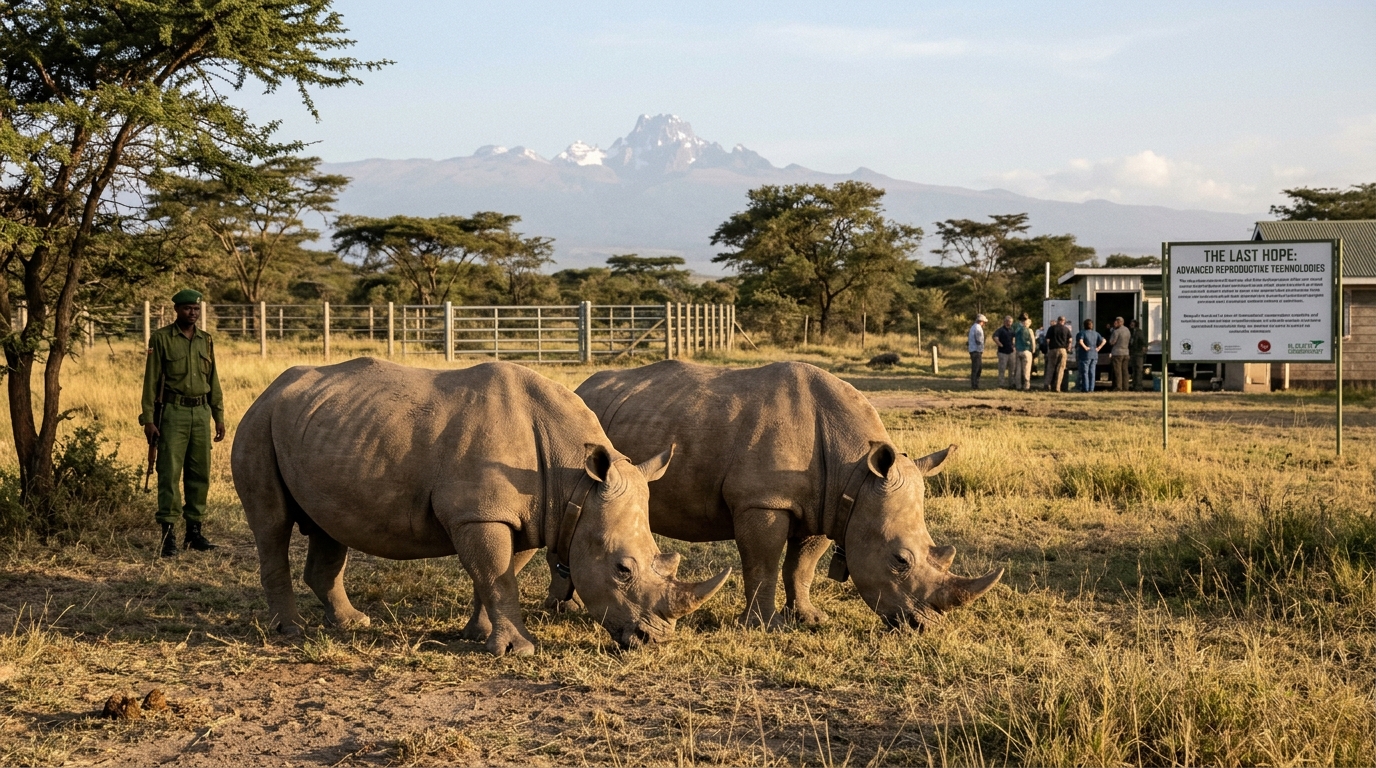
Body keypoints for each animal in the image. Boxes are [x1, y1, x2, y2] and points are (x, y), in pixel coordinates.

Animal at [231, 358, 729, 656]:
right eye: (622, 570)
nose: (653, 640)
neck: (578, 484)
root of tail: (271, 388)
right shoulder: (481, 512)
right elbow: (496, 574)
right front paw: (518, 651)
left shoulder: (528, 513)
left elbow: (499, 573)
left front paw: (478, 634)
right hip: (257, 422)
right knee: (272, 526)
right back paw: (291, 631)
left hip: (320, 427)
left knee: (329, 526)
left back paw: (352, 623)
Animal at [558, 360, 1003, 629]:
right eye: (899, 561)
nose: (925, 626)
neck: (858, 474)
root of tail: (584, 385)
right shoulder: (764, 500)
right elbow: (764, 564)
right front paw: (762, 625)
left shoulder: (826, 504)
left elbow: (801, 566)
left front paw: (809, 618)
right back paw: (572, 609)